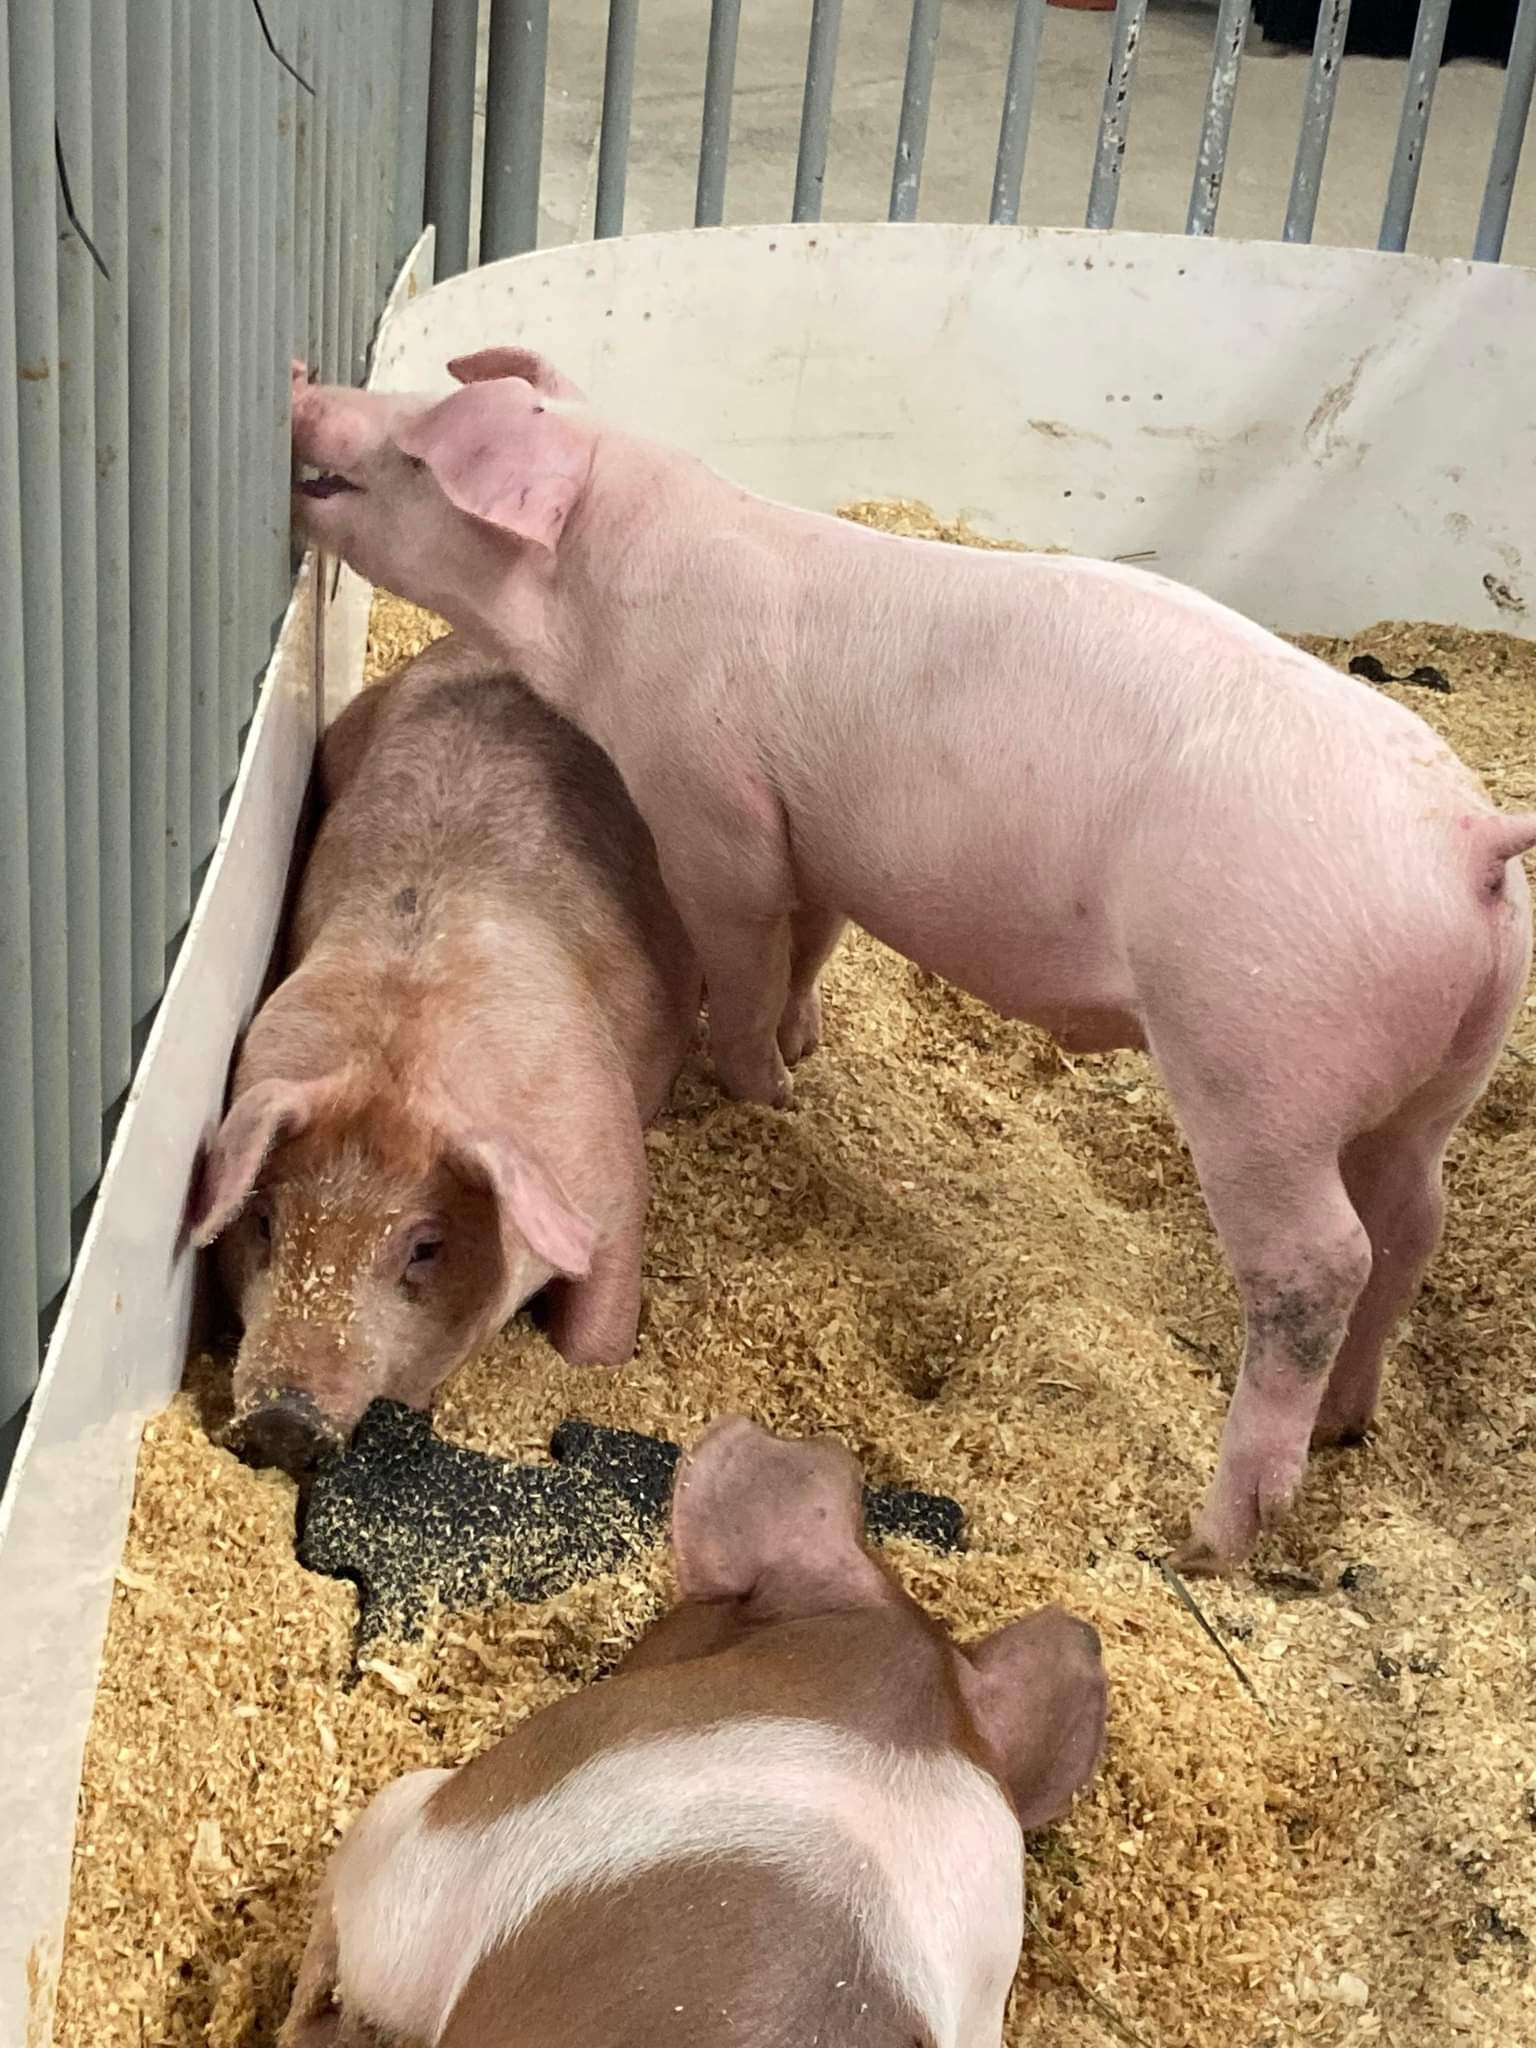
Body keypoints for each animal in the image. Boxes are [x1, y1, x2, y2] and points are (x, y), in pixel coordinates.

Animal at [190, 630, 700, 1471]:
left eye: (424, 1248)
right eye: (263, 1221)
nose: (284, 1420)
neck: (399, 1059)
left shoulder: (616, 1186)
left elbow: (595, 1336)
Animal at [289, 350, 1536, 1571]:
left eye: (416, 452)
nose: (305, 390)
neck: (603, 590)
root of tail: (1472, 839)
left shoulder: (713, 810)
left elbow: (743, 952)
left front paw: (754, 1085)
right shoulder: (820, 842)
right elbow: (811, 947)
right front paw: (802, 1051)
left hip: (1260, 1055)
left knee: (1317, 1264)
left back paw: (1210, 1538)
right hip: (1435, 1080)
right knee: (1410, 1222)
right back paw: (1348, 1423)